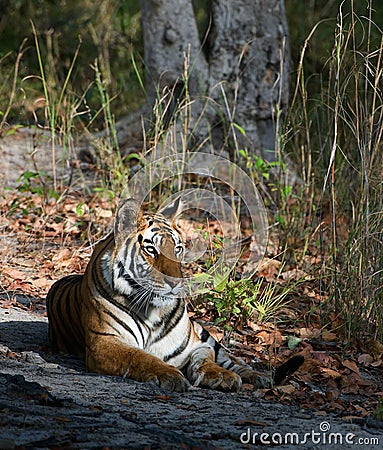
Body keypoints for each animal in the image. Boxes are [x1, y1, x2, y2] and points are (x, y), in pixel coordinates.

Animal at [45, 199, 304, 392]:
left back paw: (258, 376)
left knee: (234, 359)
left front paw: (221, 376)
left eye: (178, 249)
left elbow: (206, 359)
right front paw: (169, 375)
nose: (176, 282)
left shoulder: (195, 344)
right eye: (151, 249)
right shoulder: (104, 342)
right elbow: (140, 357)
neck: (151, 312)